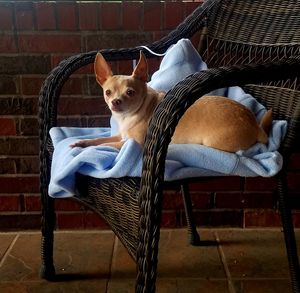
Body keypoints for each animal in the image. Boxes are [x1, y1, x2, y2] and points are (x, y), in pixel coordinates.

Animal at [71, 52, 272, 153]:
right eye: (108, 92)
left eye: (130, 93)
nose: (116, 102)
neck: (130, 116)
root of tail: (255, 124)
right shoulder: (121, 136)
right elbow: (99, 139)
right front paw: (82, 142)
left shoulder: (132, 143)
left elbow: (106, 145)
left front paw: (93, 148)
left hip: (214, 142)